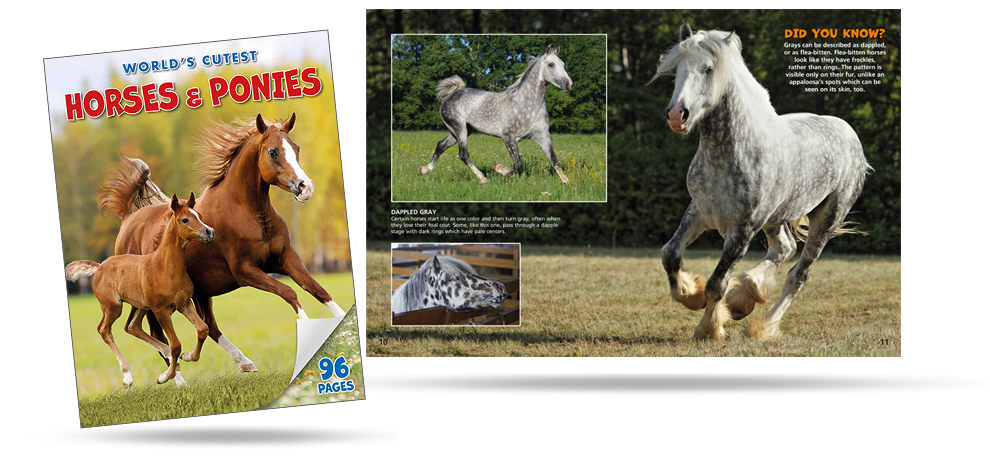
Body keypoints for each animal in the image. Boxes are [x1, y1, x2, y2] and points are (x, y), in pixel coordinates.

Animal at [66, 193, 215, 389]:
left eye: (200, 215)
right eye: (185, 219)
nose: (209, 232)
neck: (165, 267)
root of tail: (99, 267)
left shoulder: (184, 303)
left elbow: (203, 329)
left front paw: (188, 356)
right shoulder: (160, 310)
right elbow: (176, 345)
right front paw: (164, 377)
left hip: (141, 306)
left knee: (132, 327)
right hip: (113, 307)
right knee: (104, 330)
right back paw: (127, 376)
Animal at [100, 113, 346, 373]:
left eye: (296, 147)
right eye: (273, 151)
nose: (305, 186)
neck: (249, 213)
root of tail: (127, 218)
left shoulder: (287, 259)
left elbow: (319, 290)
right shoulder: (246, 271)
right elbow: (289, 293)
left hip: (200, 292)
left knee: (209, 326)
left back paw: (243, 362)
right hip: (151, 302)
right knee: (157, 336)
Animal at [418, 45, 574, 185]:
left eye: (563, 64)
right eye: (551, 64)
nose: (569, 84)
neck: (528, 104)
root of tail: (450, 96)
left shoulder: (543, 136)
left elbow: (554, 160)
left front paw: (566, 183)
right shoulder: (509, 138)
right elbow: (518, 164)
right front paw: (497, 168)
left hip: (460, 131)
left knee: (441, 145)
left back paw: (424, 169)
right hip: (459, 128)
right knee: (463, 154)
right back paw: (482, 178)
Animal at [651, 22, 869, 340]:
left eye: (708, 69)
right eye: (677, 67)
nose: (677, 115)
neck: (736, 150)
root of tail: (850, 134)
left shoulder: (742, 230)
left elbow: (717, 282)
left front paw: (708, 328)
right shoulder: (700, 212)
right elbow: (670, 254)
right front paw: (691, 296)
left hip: (826, 219)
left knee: (798, 274)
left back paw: (764, 326)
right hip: (775, 217)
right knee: (784, 248)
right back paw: (745, 297)